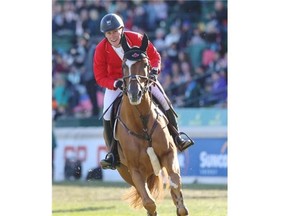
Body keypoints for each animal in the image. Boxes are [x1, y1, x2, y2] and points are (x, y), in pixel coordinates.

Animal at [113, 33, 190, 215]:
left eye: (146, 64)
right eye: (123, 65)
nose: (135, 94)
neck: (141, 123)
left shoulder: (169, 154)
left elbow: (175, 182)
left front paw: (180, 205)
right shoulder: (134, 170)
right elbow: (149, 202)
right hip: (127, 173)